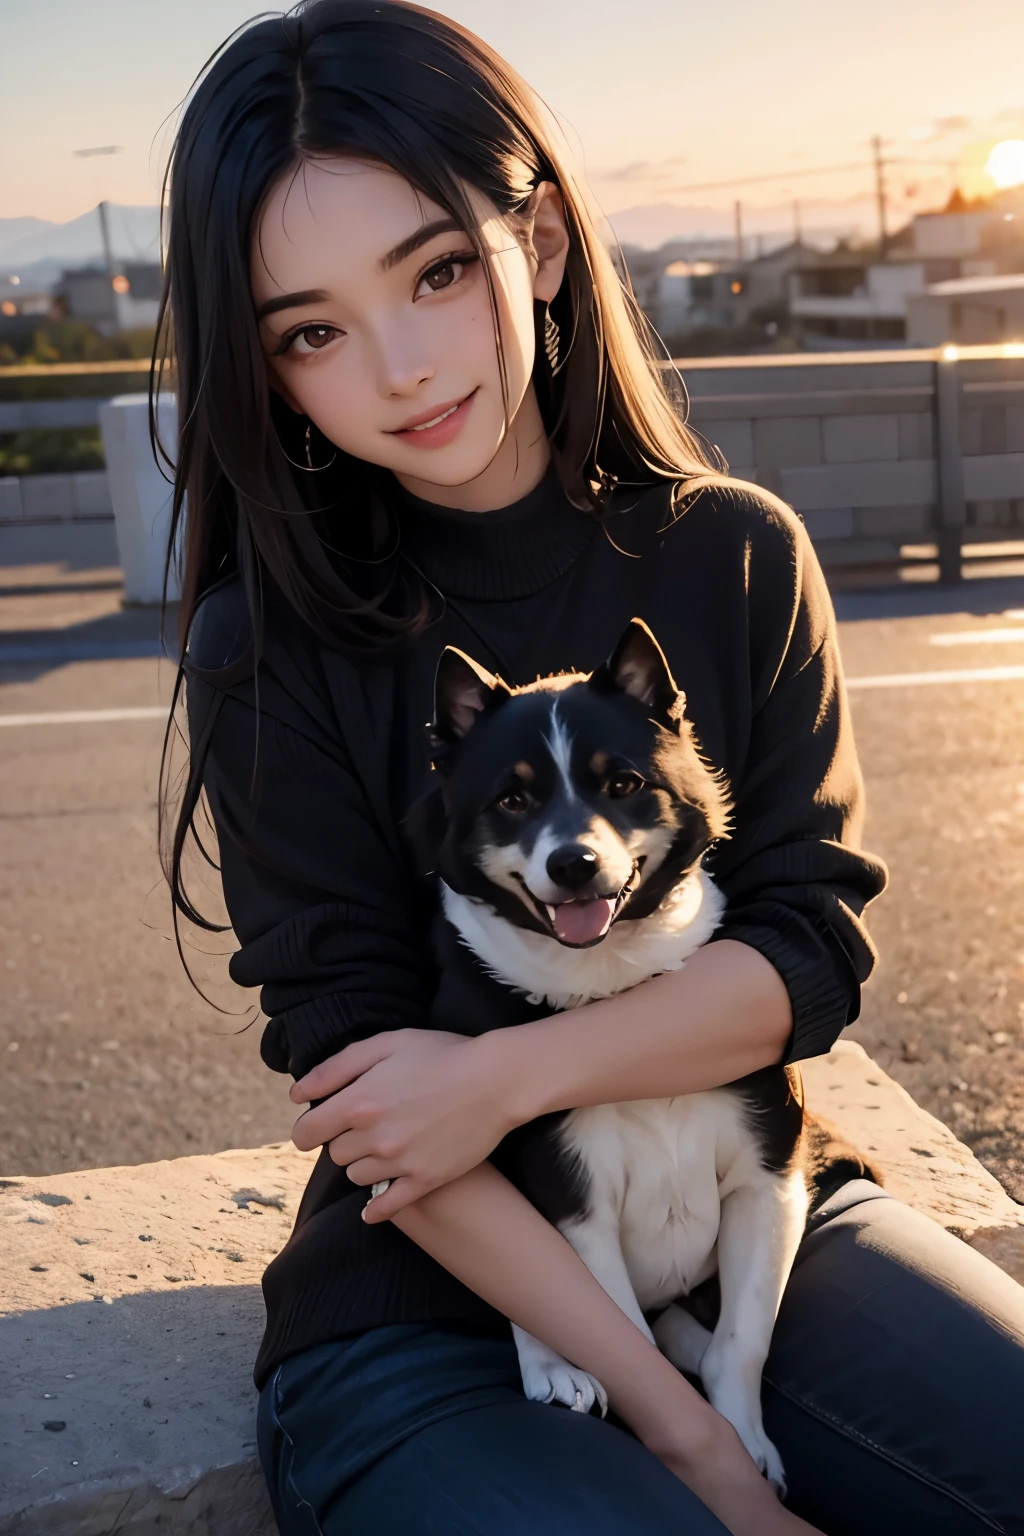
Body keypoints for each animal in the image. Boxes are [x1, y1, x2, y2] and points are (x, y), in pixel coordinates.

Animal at [417, 617, 872, 1492]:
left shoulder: (769, 1174)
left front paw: (746, 1441)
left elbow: (741, 1344)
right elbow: (624, 1340)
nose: (574, 864)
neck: (617, 992)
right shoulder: (575, 1202)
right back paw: (552, 1367)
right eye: (513, 800)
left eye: (623, 784)